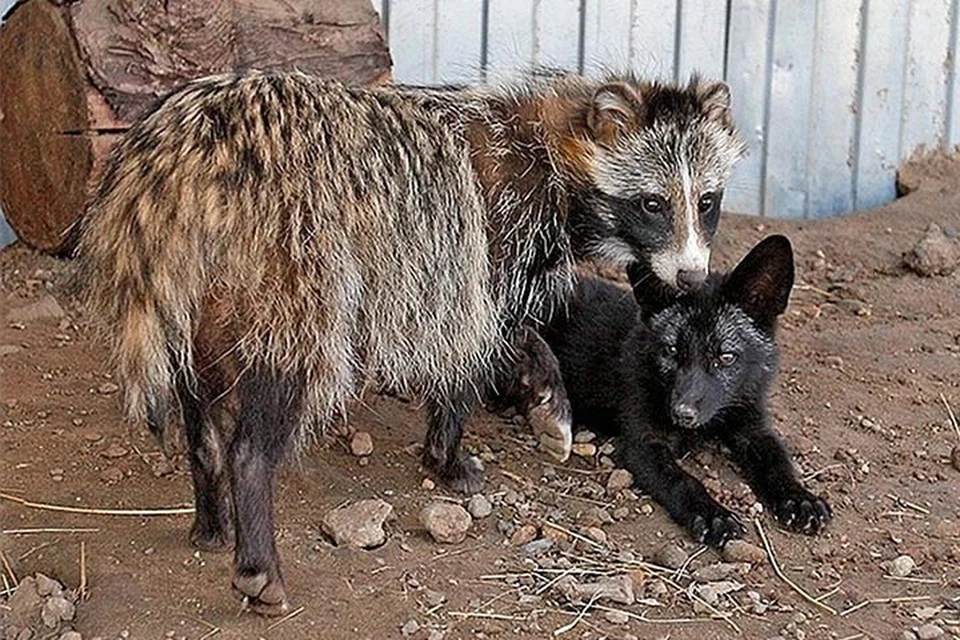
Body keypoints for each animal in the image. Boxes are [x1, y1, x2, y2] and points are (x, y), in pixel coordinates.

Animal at [75, 69, 748, 608]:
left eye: (707, 201)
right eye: (653, 203)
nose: (692, 278)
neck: (556, 147)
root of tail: (179, 157)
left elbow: (505, 333)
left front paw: (537, 385)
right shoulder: (486, 237)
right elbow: (474, 341)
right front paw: (456, 447)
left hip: (203, 290)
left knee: (200, 404)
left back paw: (211, 505)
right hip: (292, 268)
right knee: (274, 397)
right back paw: (256, 546)